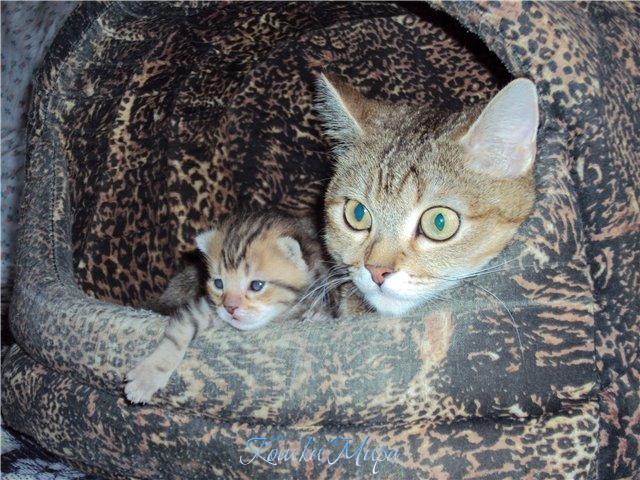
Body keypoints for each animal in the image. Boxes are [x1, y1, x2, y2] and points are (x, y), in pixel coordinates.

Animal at [125, 212, 329, 403]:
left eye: (257, 285)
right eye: (219, 283)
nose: (230, 308)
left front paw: (313, 315)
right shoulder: (210, 307)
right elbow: (181, 329)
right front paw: (148, 375)